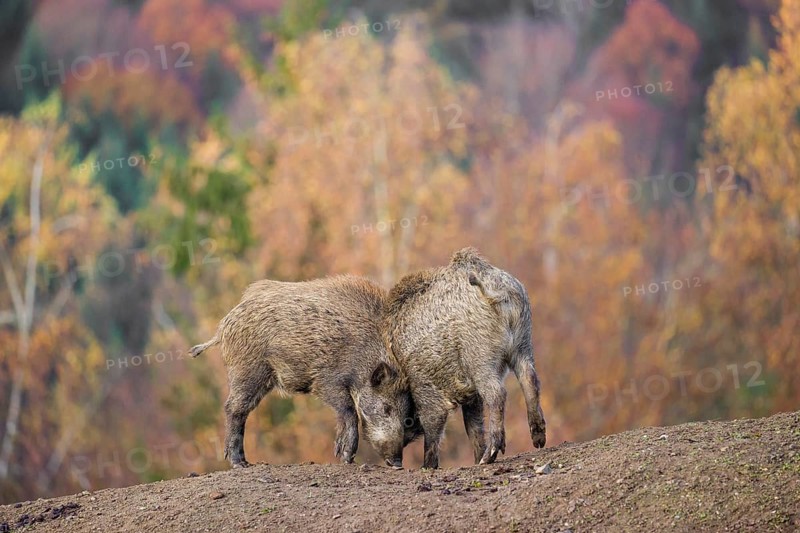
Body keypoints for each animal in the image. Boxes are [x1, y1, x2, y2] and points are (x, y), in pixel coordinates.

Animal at [189, 275, 417, 468]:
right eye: (386, 408)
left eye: (407, 415)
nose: (398, 463)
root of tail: (223, 327)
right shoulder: (327, 380)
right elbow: (349, 411)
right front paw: (345, 458)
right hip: (248, 371)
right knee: (233, 409)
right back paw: (239, 464)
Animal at [383, 247, 546, 469]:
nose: (391, 461)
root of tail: (498, 290)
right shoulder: (471, 395)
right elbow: (473, 426)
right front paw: (475, 458)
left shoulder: (424, 387)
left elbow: (433, 425)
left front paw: (427, 467)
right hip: (523, 342)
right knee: (530, 379)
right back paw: (538, 441)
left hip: (479, 356)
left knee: (497, 393)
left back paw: (489, 457)